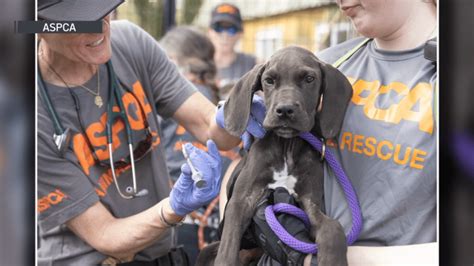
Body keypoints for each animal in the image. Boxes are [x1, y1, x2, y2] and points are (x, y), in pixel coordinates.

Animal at [198, 46, 354, 264]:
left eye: (309, 79)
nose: (285, 110)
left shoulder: (310, 202)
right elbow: (227, 252)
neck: (286, 146)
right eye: (269, 80)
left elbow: (332, 228)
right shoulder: (242, 201)